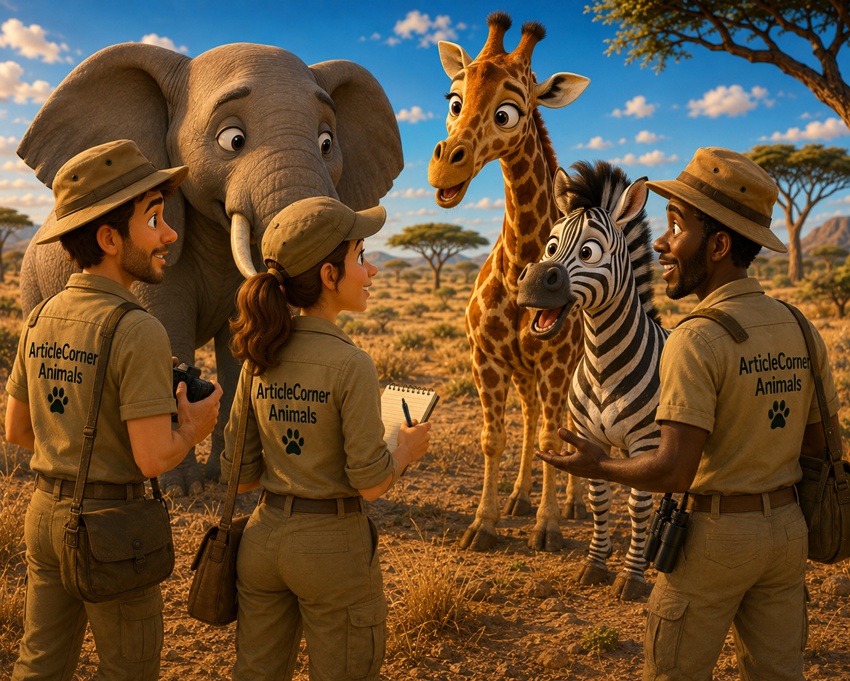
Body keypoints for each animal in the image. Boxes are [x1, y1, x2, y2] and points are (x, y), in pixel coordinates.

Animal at [18, 42, 403, 496]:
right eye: (232, 140)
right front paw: (182, 489)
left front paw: (228, 479)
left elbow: (243, 342)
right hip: (29, 275)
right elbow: (164, 327)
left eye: (327, 142)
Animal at [428, 12, 589, 551]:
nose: (443, 166)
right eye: (453, 99)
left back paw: (574, 505)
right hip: (525, 372)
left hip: (577, 367)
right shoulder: (488, 357)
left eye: (507, 112)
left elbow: (551, 438)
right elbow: (495, 437)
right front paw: (484, 524)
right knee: (534, 415)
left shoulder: (558, 361)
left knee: (567, 425)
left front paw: (549, 527)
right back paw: (521, 498)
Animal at [517, 159, 669, 601]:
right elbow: (598, 498)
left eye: (588, 252)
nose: (532, 282)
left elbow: (637, 505)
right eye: (550, 246)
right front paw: (596, 564)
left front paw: (631, 577)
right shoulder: (590, 439)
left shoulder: (645, 442)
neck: (603, 365)